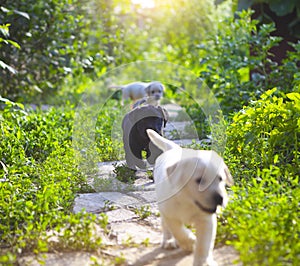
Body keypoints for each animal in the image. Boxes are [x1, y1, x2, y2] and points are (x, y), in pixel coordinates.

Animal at [146, 129, 233, 266]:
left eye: (220, 179)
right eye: (199, 180)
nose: (220, 198)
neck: (187, 201)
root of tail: (174, 149)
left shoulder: (206, 220)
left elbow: (204, 244)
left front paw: (203, 261)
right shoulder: (170, 214)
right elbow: (178, 231)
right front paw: (189, 242)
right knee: (165, 225)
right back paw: (168, 241)